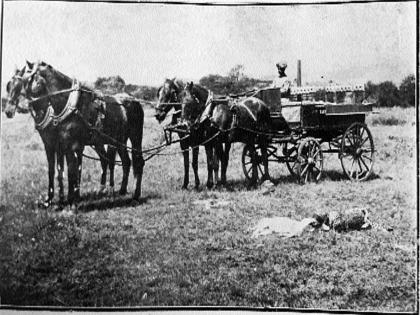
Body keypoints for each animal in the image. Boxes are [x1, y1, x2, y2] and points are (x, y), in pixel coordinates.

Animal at [3, 61, 145, 207]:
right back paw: (120, 190)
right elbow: (56, 170)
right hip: (119, 140)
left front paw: (71, 200)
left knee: (137, 161)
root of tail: (134, 100)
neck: (69, 104)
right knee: (124, 162)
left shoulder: (72, 145)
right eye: (8, 86)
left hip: (134, 137)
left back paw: (134, 195)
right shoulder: (55, 144)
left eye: (22, 83)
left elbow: (72, 170)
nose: (8, 111)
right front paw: (52, 199)